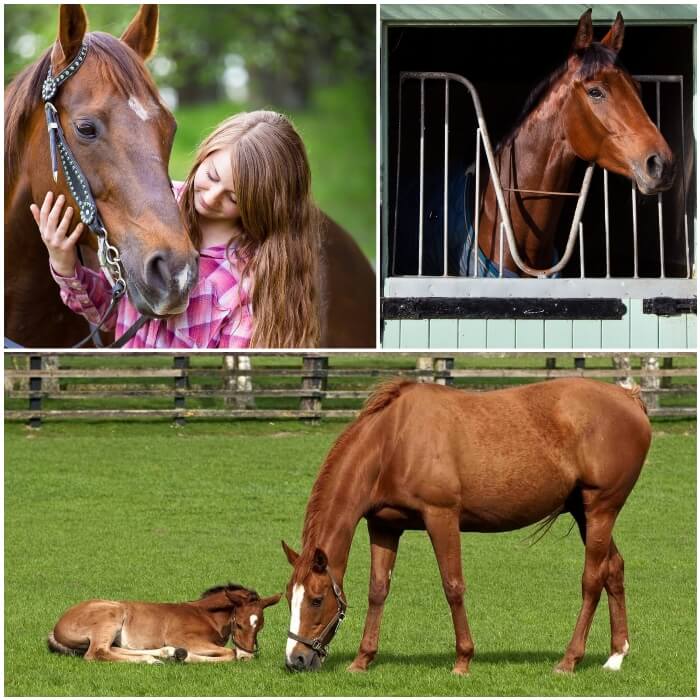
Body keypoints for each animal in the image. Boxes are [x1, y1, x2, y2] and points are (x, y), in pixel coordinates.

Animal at [46, 584, 284, 664]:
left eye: (260, 626)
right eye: (240, 624)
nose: (249, 652)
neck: (205, 615)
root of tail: (56, 627)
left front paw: (180, 655)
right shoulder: (185, 638)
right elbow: (230, 654)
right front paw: (186, 657)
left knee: (112, 649)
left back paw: (165, 654)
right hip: (111, 615)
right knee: (97, 652)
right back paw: (155, 659)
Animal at [284, 380, 652, 676]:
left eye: (316, 600)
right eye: (289, 597)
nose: (295, 660)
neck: (393, 440)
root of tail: (629, 398)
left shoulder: (441, 517)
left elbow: (453, 587)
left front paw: (463, 660)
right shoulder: (384, 526)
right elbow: (378, 590)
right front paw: (362, 660)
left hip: (600, 509)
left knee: (592, 580)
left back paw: (569, 660)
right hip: (583, 513)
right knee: (613, 569)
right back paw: (616, 656)